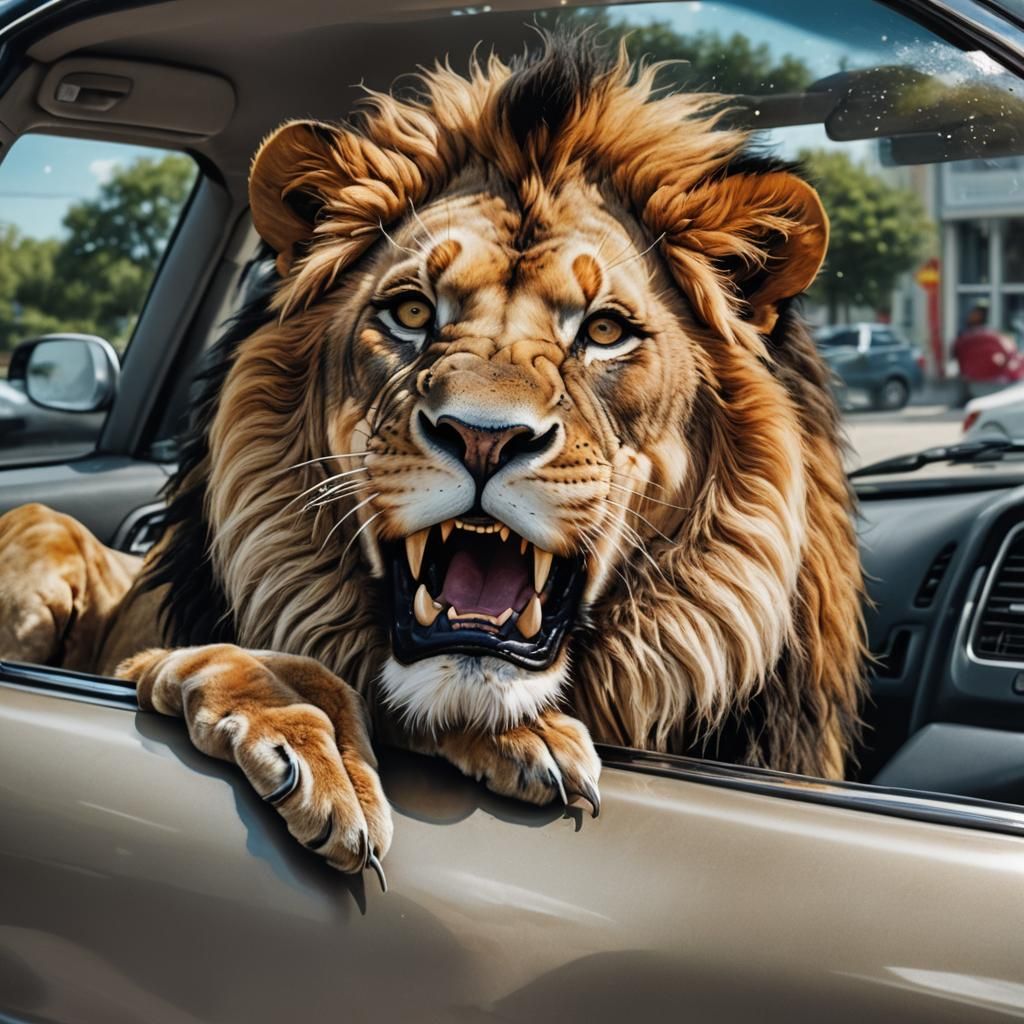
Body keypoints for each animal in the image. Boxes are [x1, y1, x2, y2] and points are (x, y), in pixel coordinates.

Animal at [0, 34, 865, 883]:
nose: (483, 436)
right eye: (412, 311)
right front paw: (323, 750)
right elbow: (264, 662)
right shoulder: (137, 656)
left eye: (605, 330)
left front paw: (521, 733)